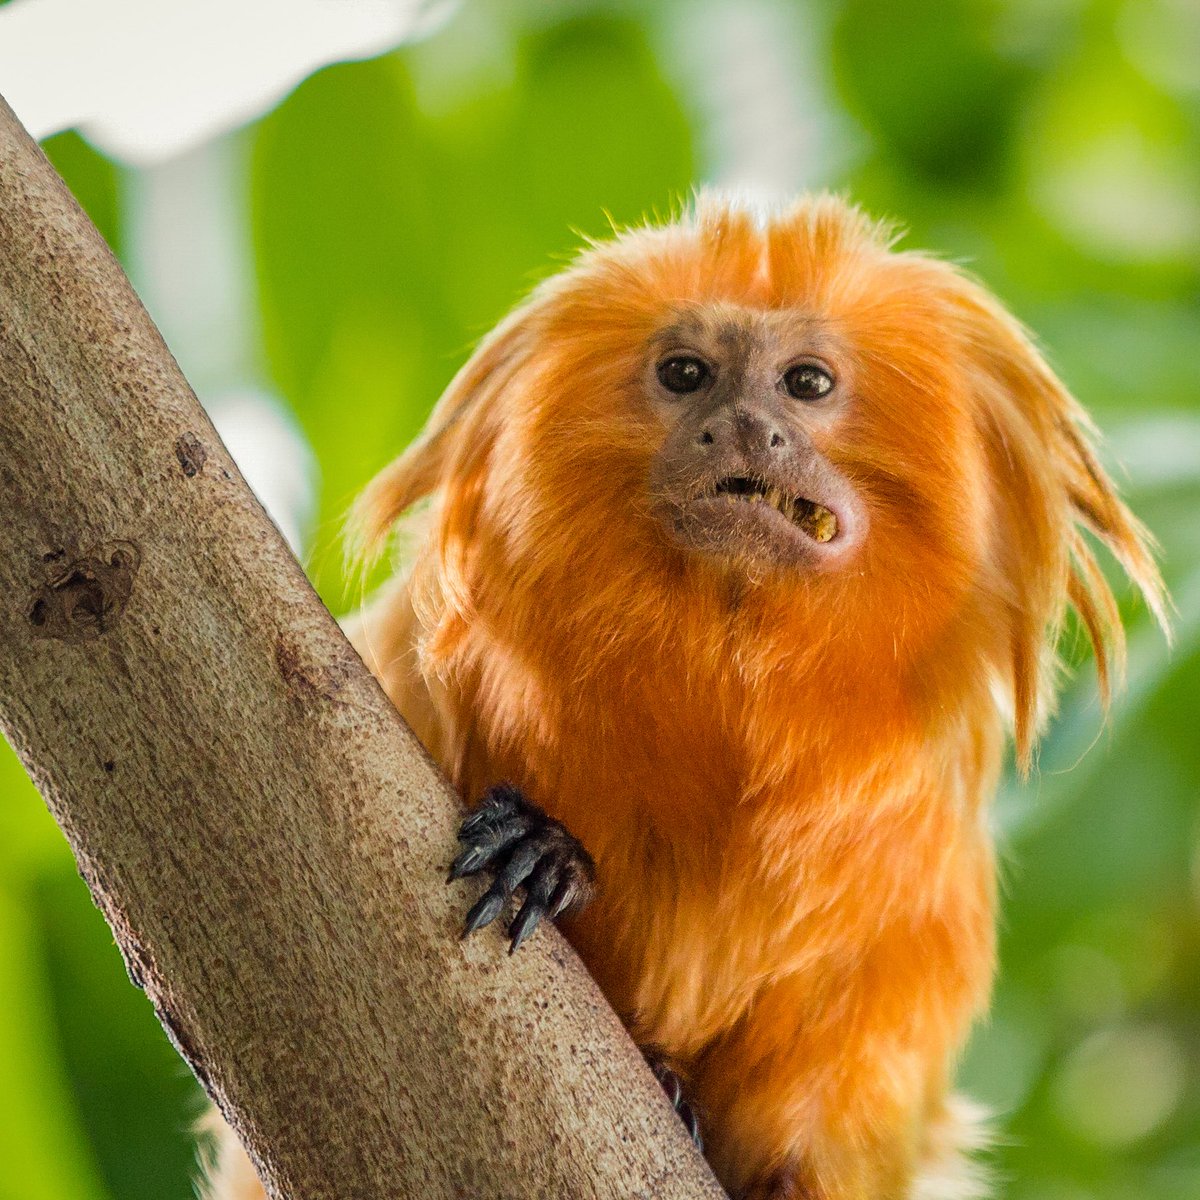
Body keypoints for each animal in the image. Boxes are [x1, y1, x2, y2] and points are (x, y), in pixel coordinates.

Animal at [201, 196, 1166, 1200]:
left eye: (807, 382)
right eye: (686, 374)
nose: (742, 427)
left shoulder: (912, 922)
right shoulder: (400, 673)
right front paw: (546, 853)